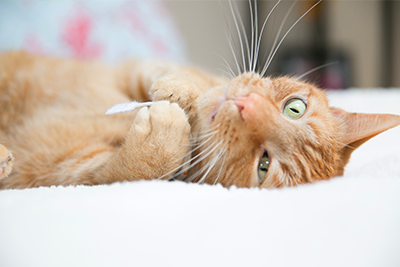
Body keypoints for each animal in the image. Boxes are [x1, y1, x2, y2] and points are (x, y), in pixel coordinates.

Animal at [0, 51, 400, 189]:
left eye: (264, 165)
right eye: (295, 108)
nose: (244, 106)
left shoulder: (53, 170)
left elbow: (119, 171)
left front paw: (164, 135)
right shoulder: (134, 67)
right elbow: (176, 73)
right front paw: (182, 91)